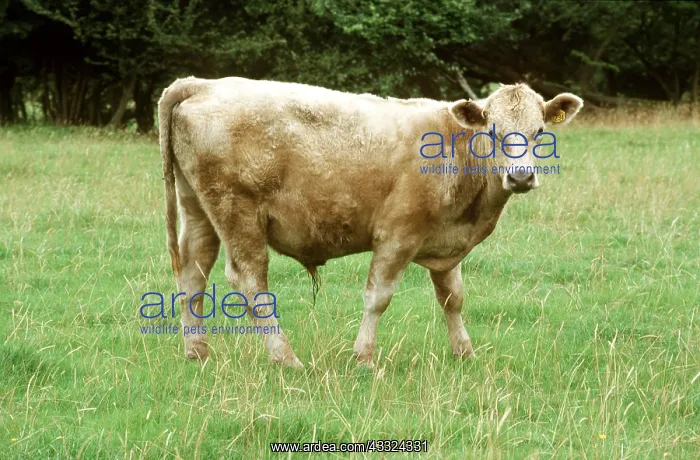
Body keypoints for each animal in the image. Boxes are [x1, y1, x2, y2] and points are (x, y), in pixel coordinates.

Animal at [158, 77, 583, 367]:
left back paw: (197, 352)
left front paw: (465, 352)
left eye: (540, 132)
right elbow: (378, 297)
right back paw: (285, 358)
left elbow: (453, 297)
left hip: (198, 209)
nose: (521, 177)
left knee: (193, 272)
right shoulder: (398, 234)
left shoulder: (446, 241)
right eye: (493, 132)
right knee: (249, 281)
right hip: (237, 212)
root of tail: (202, 84)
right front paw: (364, 356)